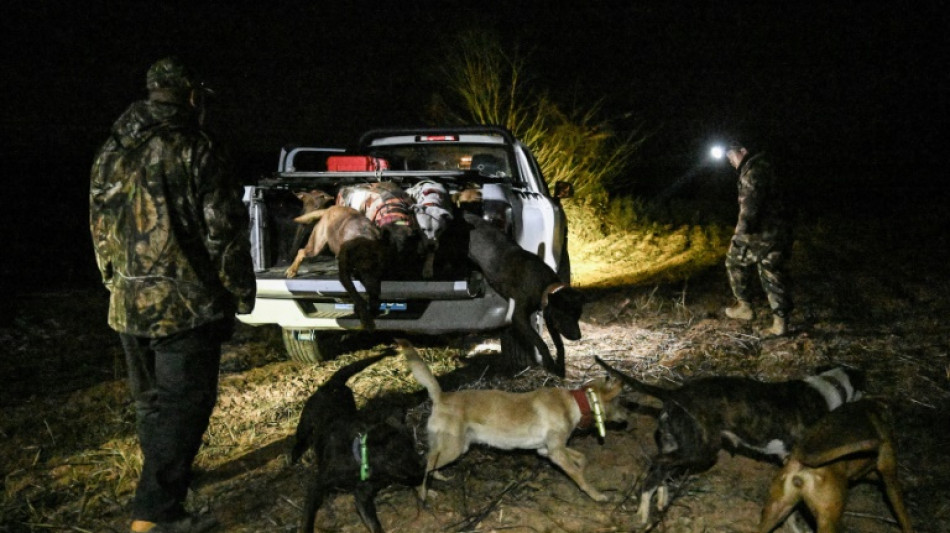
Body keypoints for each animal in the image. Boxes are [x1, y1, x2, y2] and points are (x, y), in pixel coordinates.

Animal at [290, 354, 424, 532]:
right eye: (399, 455)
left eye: (413, 445)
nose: (423, 467)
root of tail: (333, 383)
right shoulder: (317, 486)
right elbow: (307, 518)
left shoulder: (362, 495)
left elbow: (373, 523)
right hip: (305, 424)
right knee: (299, 441)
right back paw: (293, 459)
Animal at [400, 338, 628, 500]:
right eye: (619, 401)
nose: (627, 418)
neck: (575, 402)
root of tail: (441, 396)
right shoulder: (555, 452)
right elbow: (580, 476)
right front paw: (596, 494)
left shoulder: (545, 449)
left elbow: (581, 457)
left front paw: (581, 464)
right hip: (454, 448)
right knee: (427, 463)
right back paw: (424, 493)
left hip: (455, 446)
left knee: (430, 460)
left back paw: (436, 478)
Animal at [464, 210, 584, 376]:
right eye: (566, 315)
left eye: (577, 316)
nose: (578, 336)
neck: (544, 285)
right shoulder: (519, 317)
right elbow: (540, 342)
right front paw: (549, 363)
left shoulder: (550, 319)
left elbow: (559, 344)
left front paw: (560, 366)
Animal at [600, 358, 868, 524]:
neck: (829, 387)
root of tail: (674, 394)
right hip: (701, 451)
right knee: (657, 464)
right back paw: (643, 512)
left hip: (676, 444)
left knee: (661, 471)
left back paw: (656, 504)